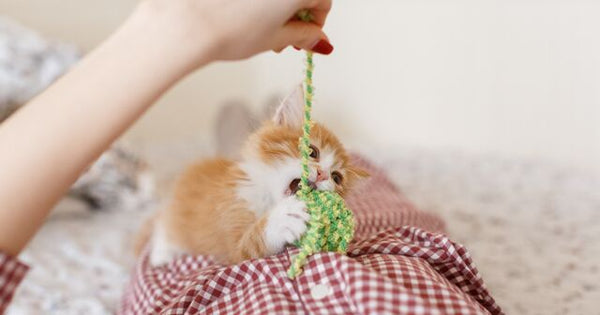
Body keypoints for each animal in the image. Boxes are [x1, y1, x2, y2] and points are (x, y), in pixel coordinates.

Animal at [137, 86, 366, 266]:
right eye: (312, 151)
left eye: (336, 177)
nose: (322, 174)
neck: (268, 200)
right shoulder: (230, 238)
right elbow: (249, 244)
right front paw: (283, 219)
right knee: (163, 225)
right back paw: (162, 254)